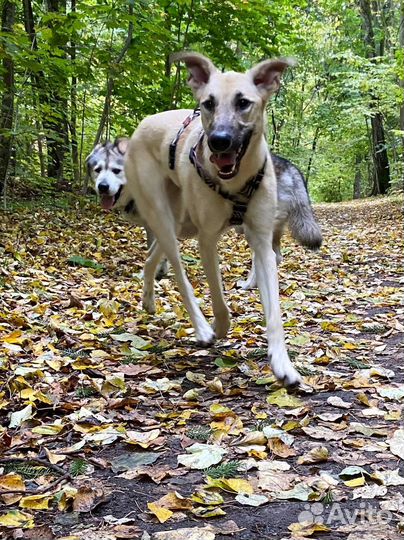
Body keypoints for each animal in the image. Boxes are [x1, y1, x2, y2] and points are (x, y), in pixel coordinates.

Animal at [86, 141, 322, 288]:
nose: (102, 187)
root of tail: (291, 167)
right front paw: (160, 273)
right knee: (276, 256)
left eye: (116, 170)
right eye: (97, 170)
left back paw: (248, 285)